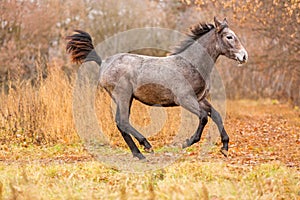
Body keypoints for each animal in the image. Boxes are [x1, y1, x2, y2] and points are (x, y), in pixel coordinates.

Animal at [67, 17, 247, 161]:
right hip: (123, 96)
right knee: (122, 121)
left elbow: (216, 115)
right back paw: (146, 146)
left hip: (126, 98)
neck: (190, 64)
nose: (244, 56)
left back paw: (139, 154)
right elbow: (203, 117)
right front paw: (186, 143)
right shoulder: (185, 99)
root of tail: (103, 62)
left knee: (120, 123)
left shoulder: (200, 99)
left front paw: (224, 147)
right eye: (229, 37)